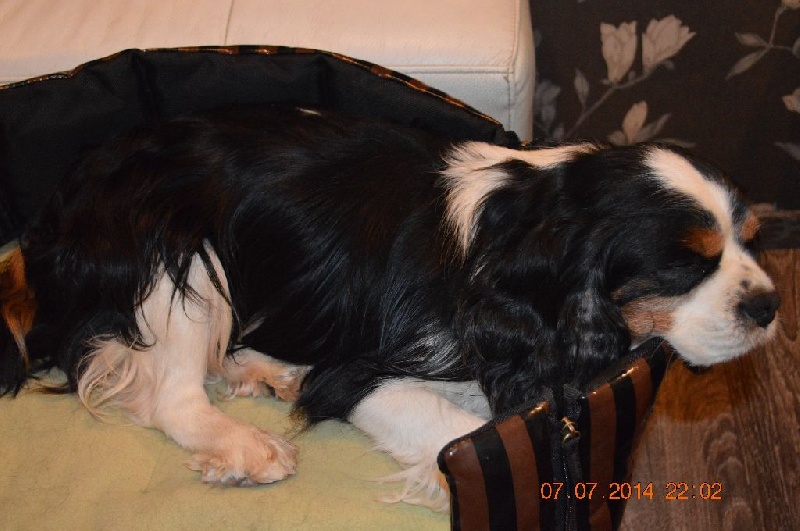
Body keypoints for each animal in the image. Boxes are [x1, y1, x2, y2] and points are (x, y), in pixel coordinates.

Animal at [0, 105, 779, 510]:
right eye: (686, 263)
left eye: (750, 239)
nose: (770, 304)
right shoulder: (361, 373)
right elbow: (461, 431)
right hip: (182, 252)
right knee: (169, 394)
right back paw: (242, 444)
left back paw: (265, 369)